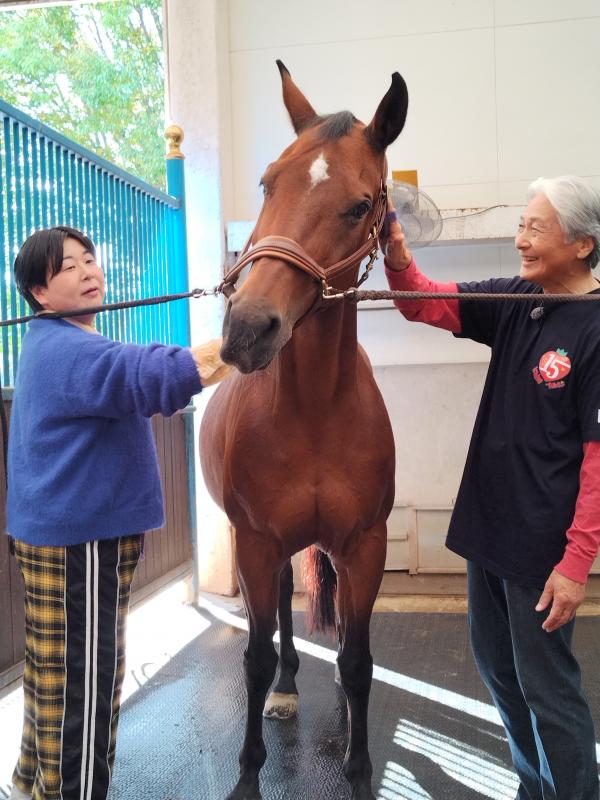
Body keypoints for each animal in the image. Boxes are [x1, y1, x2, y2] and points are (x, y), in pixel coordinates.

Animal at [200, 61, 408, 800]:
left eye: (360, 206)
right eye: (268, 182)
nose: (246, 329)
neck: (315, 409)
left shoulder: (365, 544)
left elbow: (358, 657)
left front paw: (359, 768)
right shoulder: (257, 542)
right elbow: (256, 657)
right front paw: (247, 775)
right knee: (284, 619)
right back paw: (289, 688)